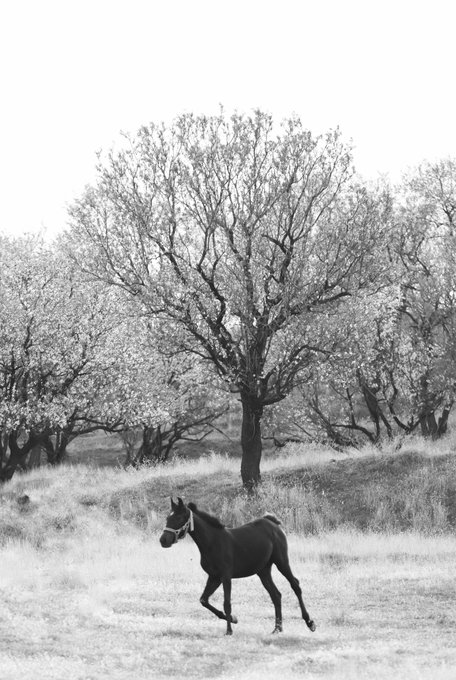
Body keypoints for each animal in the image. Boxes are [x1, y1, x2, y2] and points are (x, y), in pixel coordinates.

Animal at [159, 497, 316, 636]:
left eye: (179, 518)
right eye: (167, 518)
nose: (163, 540)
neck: (212, 542)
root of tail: (272, 523)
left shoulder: (225, 576)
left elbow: (227, 603)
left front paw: (229, 630)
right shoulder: (214, 577)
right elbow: (204, 600)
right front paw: (234, 619)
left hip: (281, 561)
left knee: (295, 585)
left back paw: (309, 622)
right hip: (263, 571)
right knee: (276, 595)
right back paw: (277, 628)